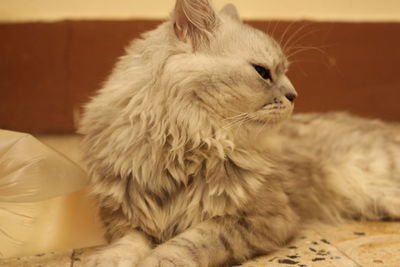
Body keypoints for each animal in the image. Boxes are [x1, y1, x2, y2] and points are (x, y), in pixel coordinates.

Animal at [78, 1, 400, 266]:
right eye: (263, 72)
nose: (294, 95)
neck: (183, 147)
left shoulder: (262, 218)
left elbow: (191, 242)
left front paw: (160, 259)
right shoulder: (124, 218)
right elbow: (126, 245)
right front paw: (109, 261)